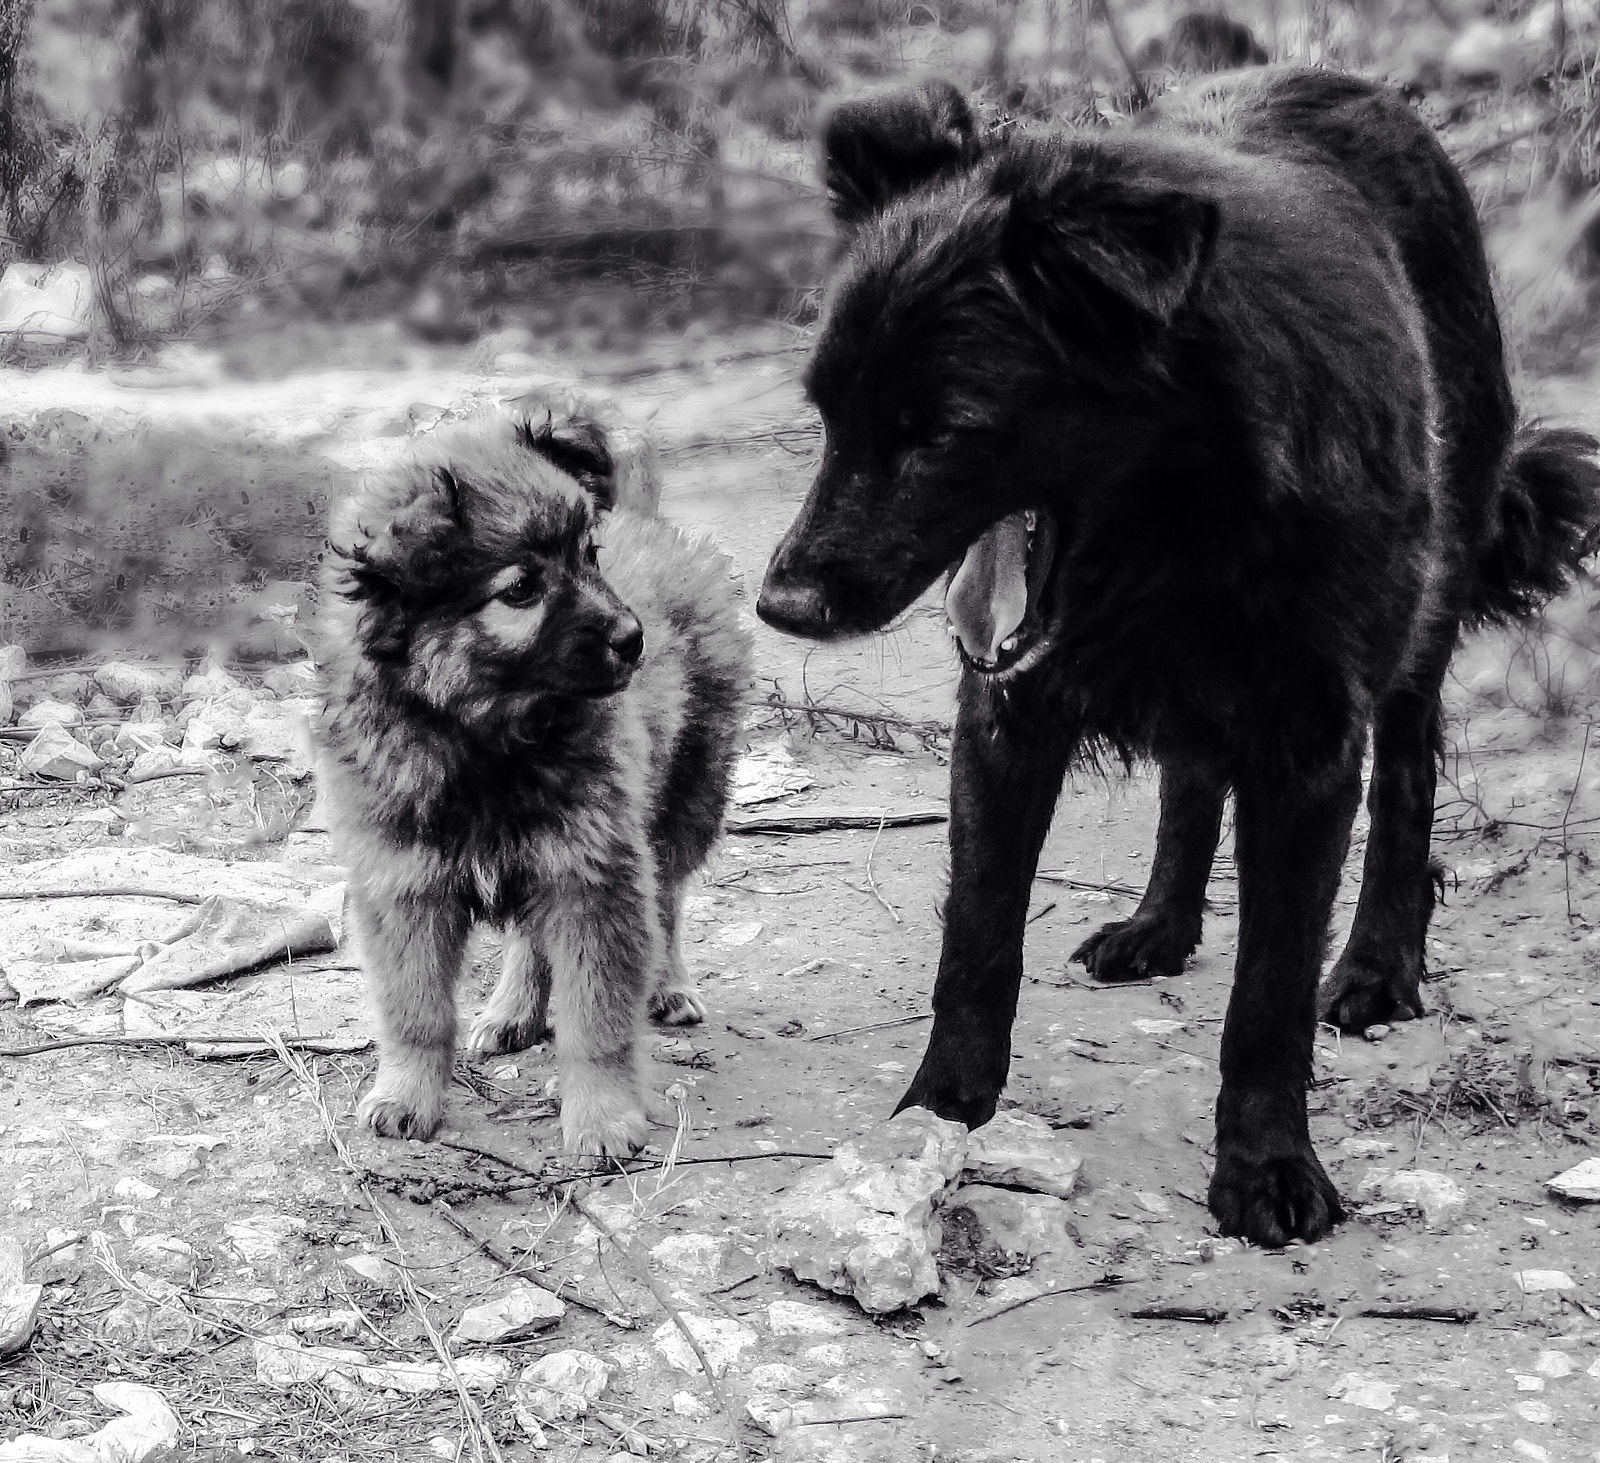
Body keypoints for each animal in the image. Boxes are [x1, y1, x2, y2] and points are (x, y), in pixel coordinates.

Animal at [321, 409, 758, 1152]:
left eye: (590, 555)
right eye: (521, 589)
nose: (633, 638)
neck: (485, 740)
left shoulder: (596, 873)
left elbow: (596, 1018)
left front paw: (603, 1117)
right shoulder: (406, 883)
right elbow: (415, 1012)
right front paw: (406, 1093)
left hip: (685, 794)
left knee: (668, 899)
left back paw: (668, 987)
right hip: (547, 847)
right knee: (531, 937)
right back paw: (513, 1010)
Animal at [758, 71, 1600, 1242]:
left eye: (942, 433)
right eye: (829, 415)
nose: (780, 604)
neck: (1188, 513)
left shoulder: (1309, 741)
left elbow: (1269, 990)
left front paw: (1267, 1164)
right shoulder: (1005, 712)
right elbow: (978, 935)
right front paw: (939, 1111)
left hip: (1424, 604)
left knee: (1408, 781)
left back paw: (1380, 964)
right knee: (1191, 774)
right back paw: (1160, 922)